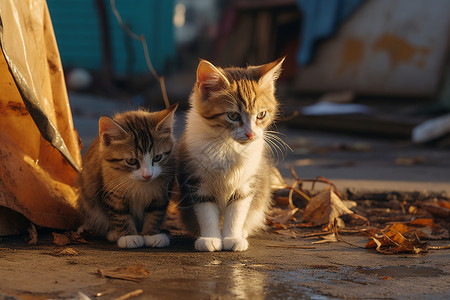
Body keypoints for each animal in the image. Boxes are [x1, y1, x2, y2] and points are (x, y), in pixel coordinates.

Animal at [77, 103, 178, 248]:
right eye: (131, 161)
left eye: (157, 157)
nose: (148, 175)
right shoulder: (110, 193)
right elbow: (120, 215)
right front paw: (129, 236)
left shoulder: (161, 192)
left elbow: (155, 213)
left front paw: (151, 235)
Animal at [176, 56, 284, 251]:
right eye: (233, 116)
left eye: (261, 115)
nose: (251, 134)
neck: (227, 145)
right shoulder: (197, 181)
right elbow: (206, 211)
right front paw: (210, 238)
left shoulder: (247, 182)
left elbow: (237, 211)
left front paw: (233, 237)